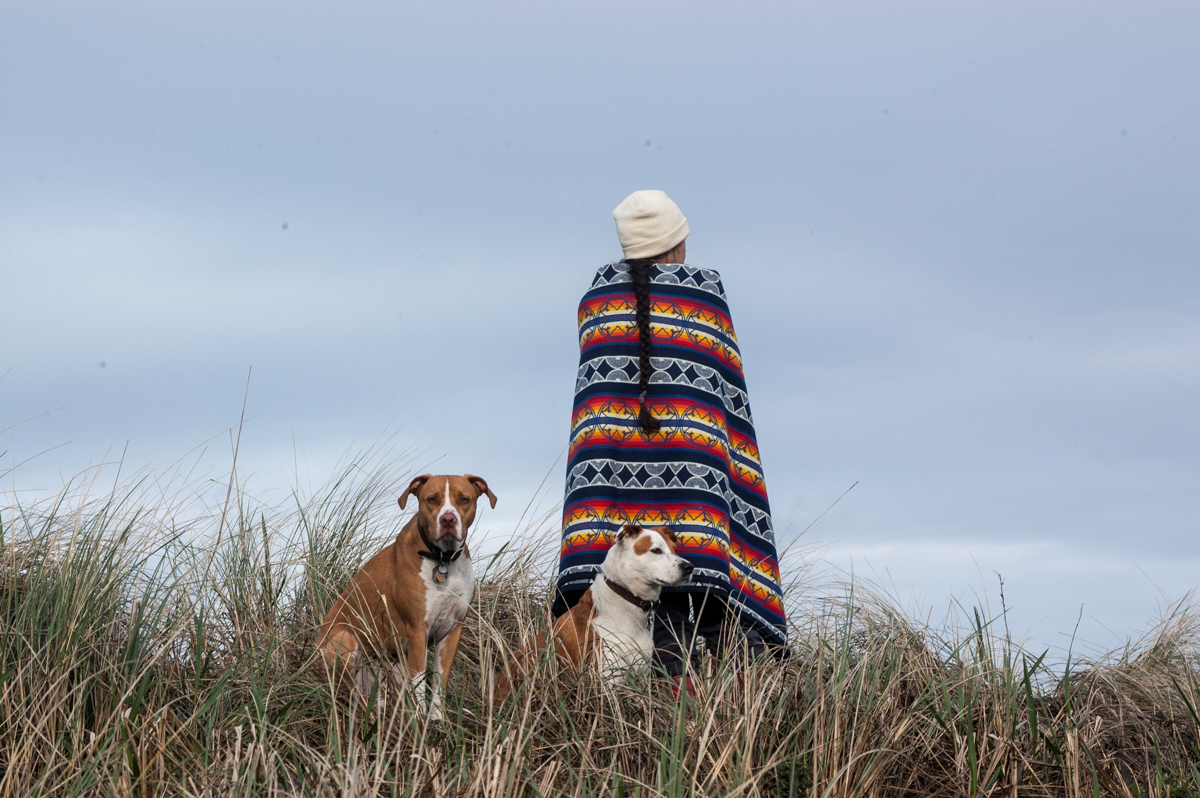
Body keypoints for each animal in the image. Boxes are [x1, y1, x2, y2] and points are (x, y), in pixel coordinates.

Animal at [319, 470, 496, 720]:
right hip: (344, 639)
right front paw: (420, 721)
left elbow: (439, 683)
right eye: (431, 499)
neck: (443, 559)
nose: (448, 519)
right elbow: (419, 682)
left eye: (464, 499)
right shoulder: (417, 629)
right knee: (349, 694)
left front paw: (437, 721)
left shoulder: (452, 630)